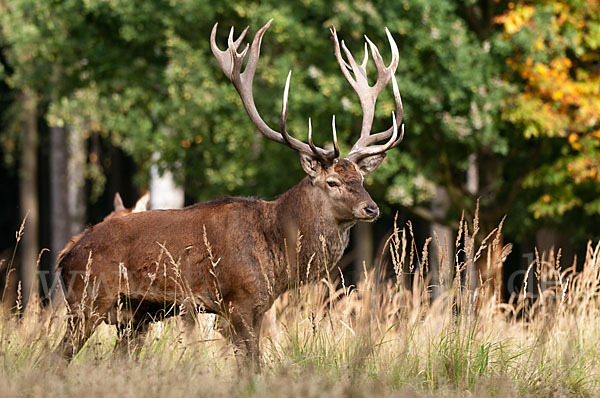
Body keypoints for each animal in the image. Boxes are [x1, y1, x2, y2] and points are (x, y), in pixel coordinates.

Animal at [57, 19, 404, 366]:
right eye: (332, 182)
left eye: (361, 178)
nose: (371, 208)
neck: (277, 254)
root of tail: (65, 255)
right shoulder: (238, 301)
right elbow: (252, 366)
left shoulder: (259, 307)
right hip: (87, 301)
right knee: (56, 358)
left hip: (136, 317)